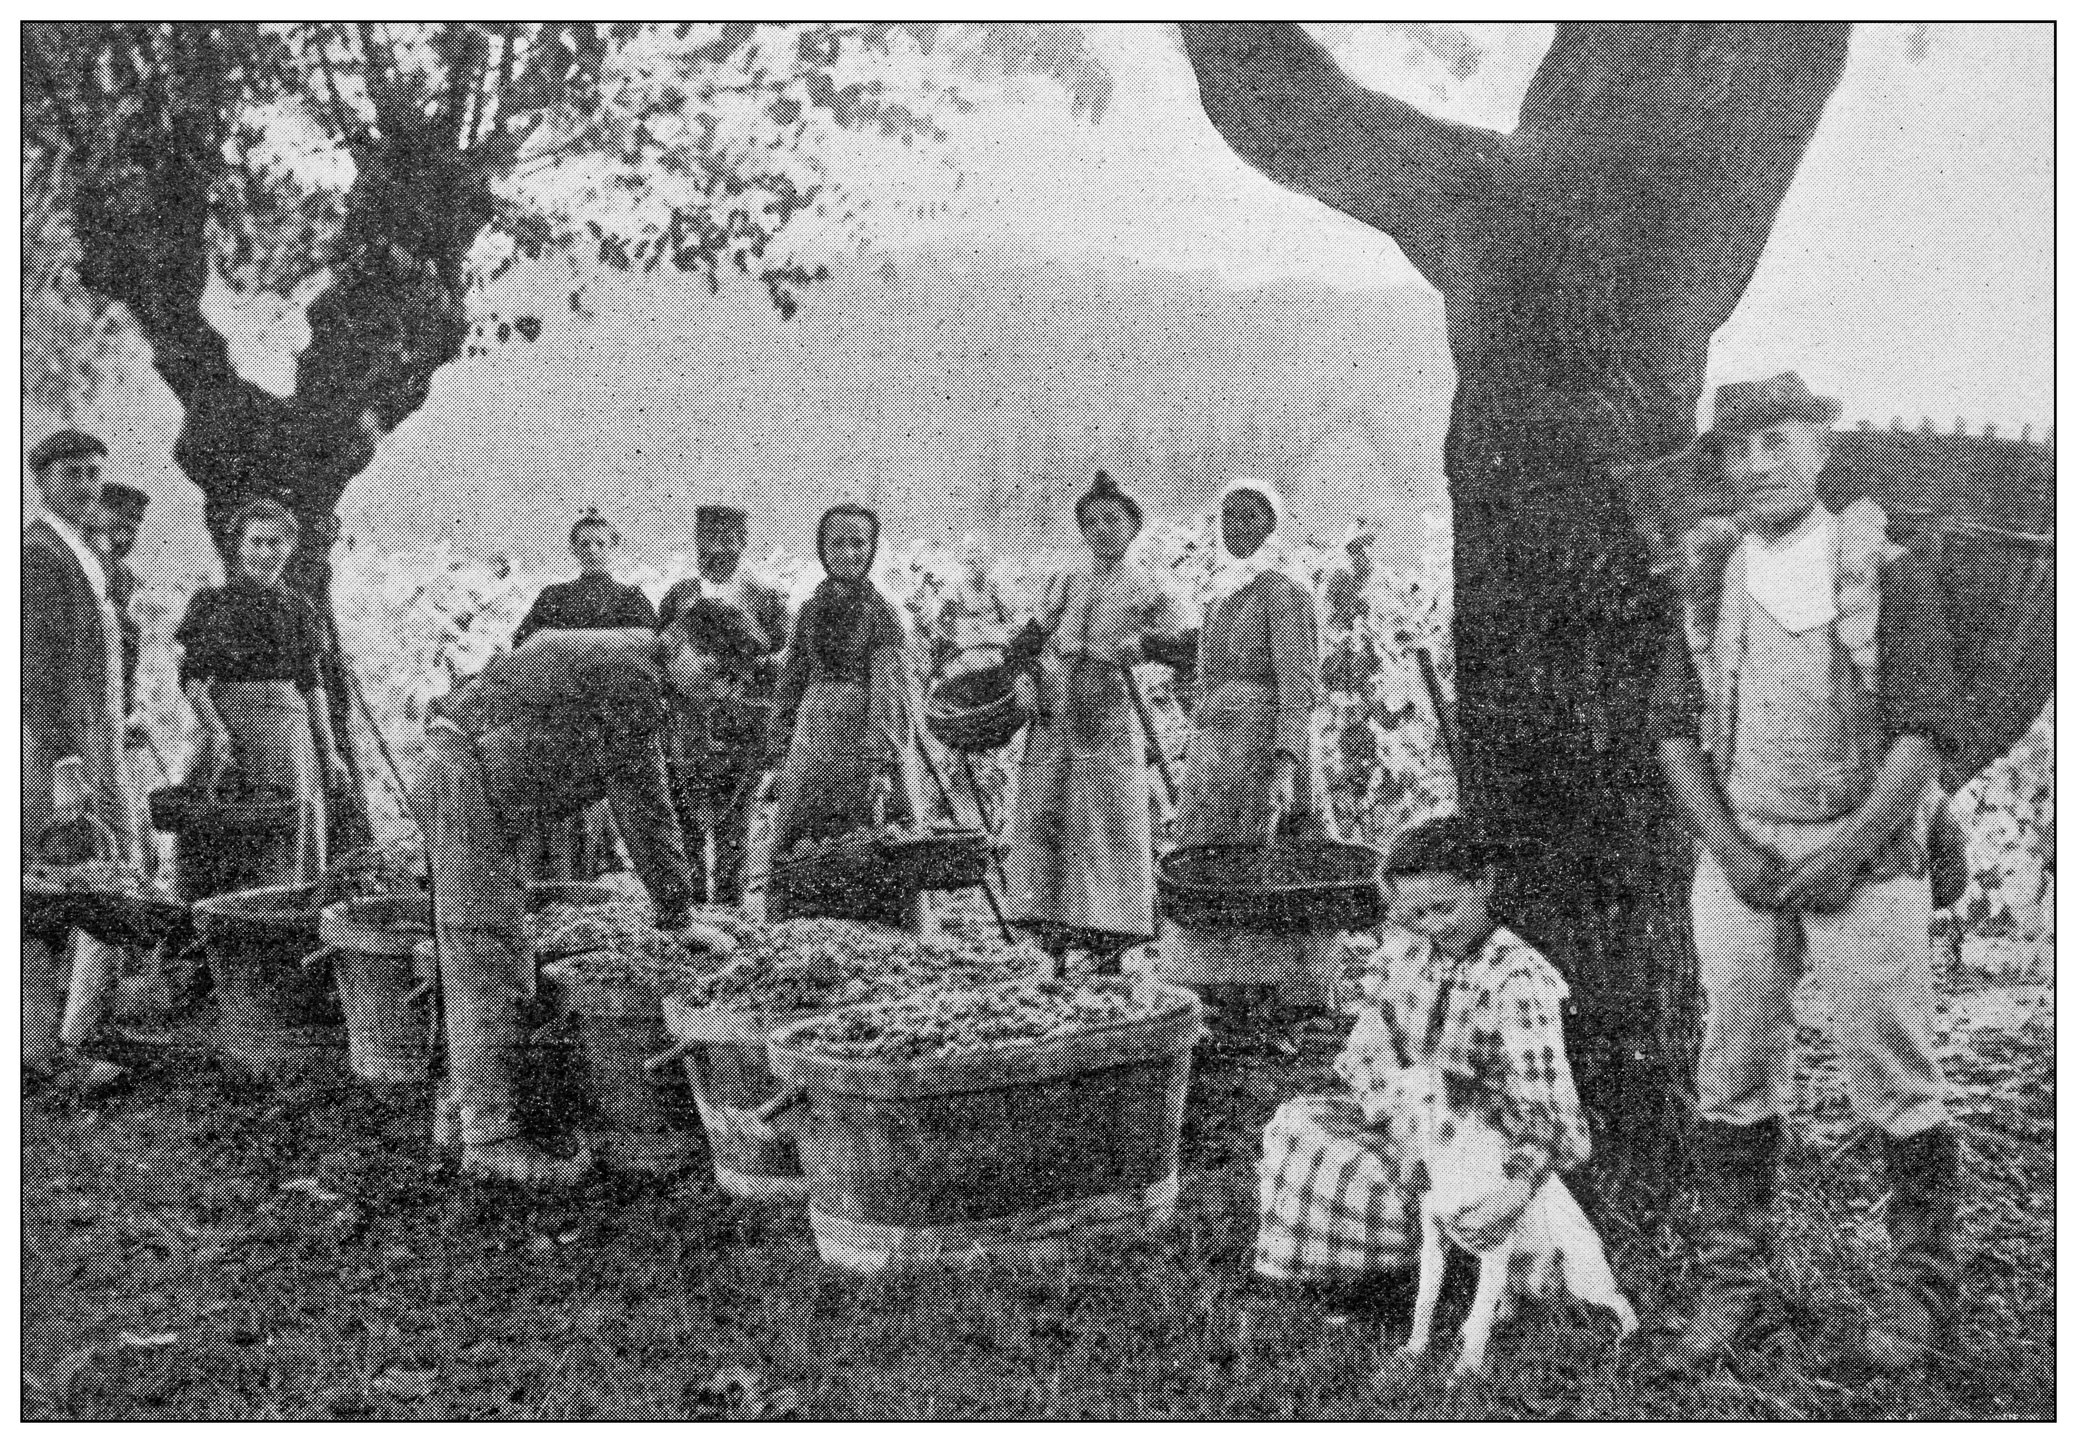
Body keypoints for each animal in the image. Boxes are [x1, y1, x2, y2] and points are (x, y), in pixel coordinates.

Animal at [1362, 1063, 1636, 1386]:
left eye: (1429, 1097)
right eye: (1391, 1090)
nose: (1379, 1123)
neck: (1449, 1166)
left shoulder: (1494, 1248)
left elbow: (1478, 1315)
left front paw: (1467, 1369)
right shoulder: (1434, 1248)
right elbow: (1425, 1303)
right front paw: (1414, 1352)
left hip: (1583, 1280)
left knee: (1621, 1303)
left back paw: (1626, 1338)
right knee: (1510, 1304)